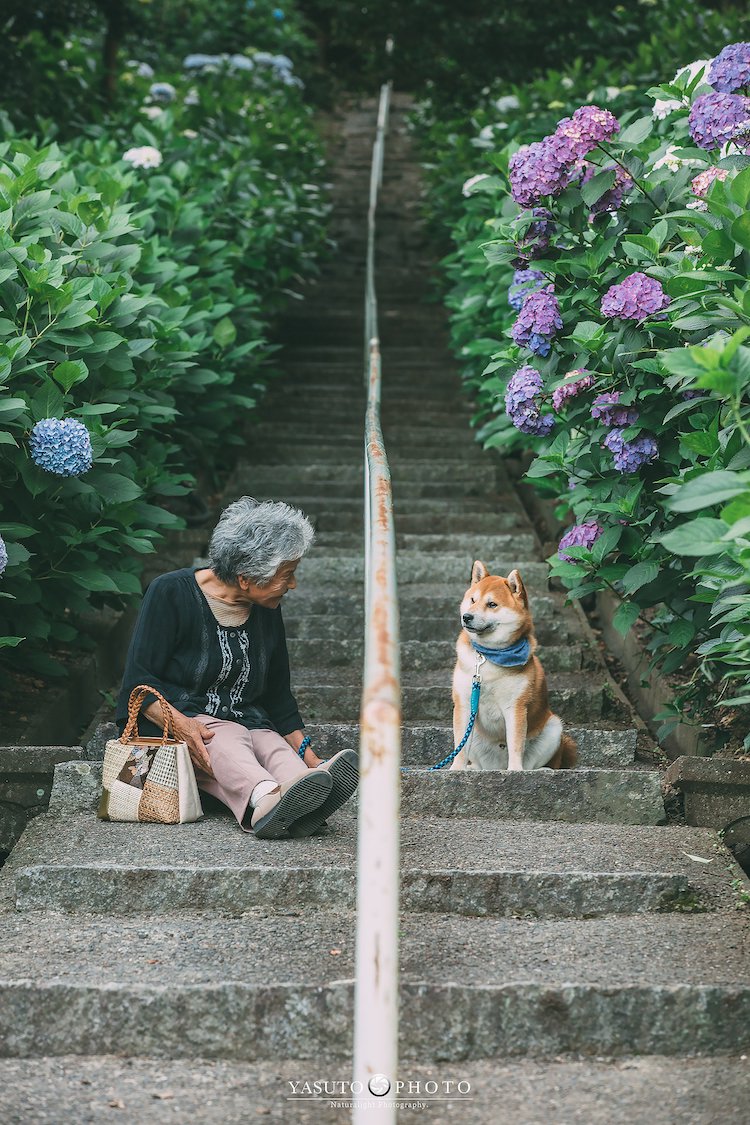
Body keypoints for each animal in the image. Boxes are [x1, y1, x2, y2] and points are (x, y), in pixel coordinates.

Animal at [449, 558, 580, 769]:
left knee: (534, 763)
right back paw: (473, 767)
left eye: (492, 604)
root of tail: (497, 767)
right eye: (473, 600)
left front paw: (515, 771)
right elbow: (460, 746)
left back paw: (536, 770)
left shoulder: (516, 707)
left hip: (554, 727)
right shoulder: (464, 704)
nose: (466, 616)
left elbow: (516, 743)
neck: (489, 656)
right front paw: (456, 769)